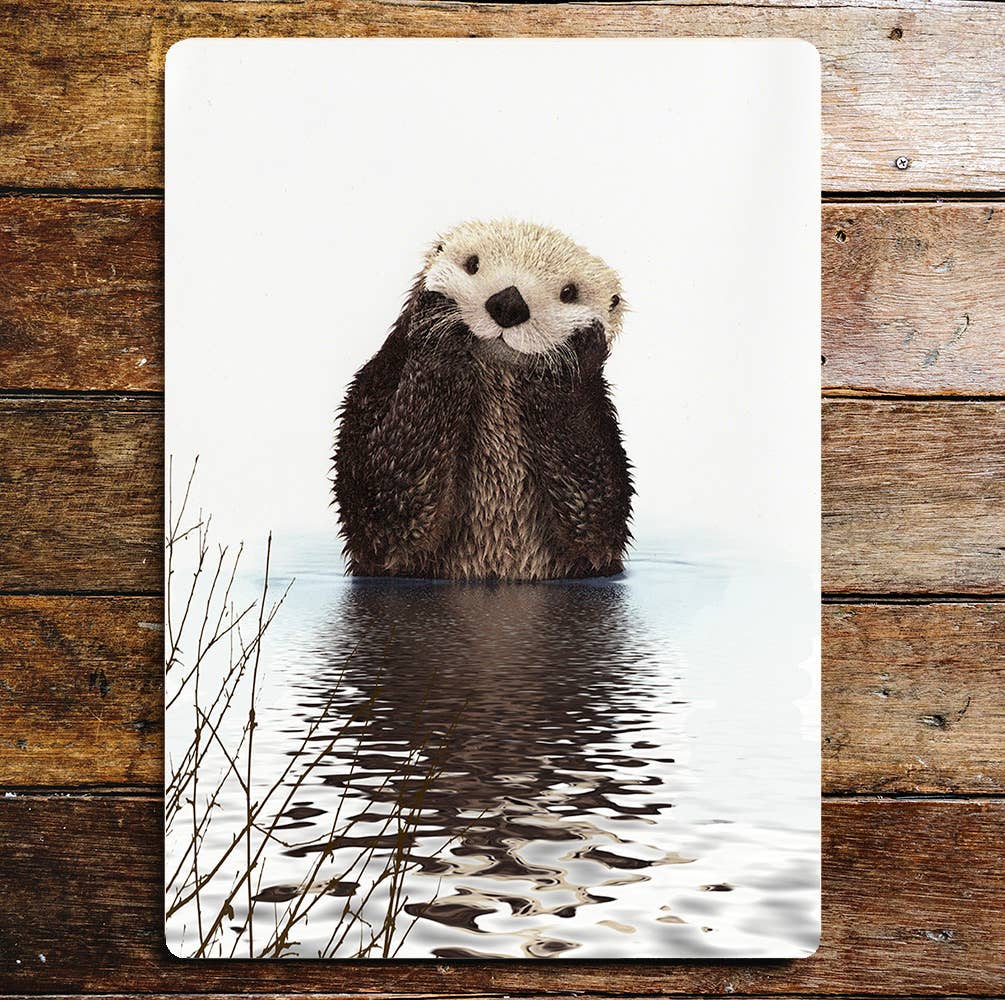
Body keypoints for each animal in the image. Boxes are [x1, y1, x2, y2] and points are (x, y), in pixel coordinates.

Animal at [333, 219, 633, 581]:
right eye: (472, 264)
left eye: (569, 293)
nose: (509, 303)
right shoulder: (376, 386)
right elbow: (385, 502)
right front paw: (438, 323)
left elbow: (596, 517)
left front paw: (572, 353)